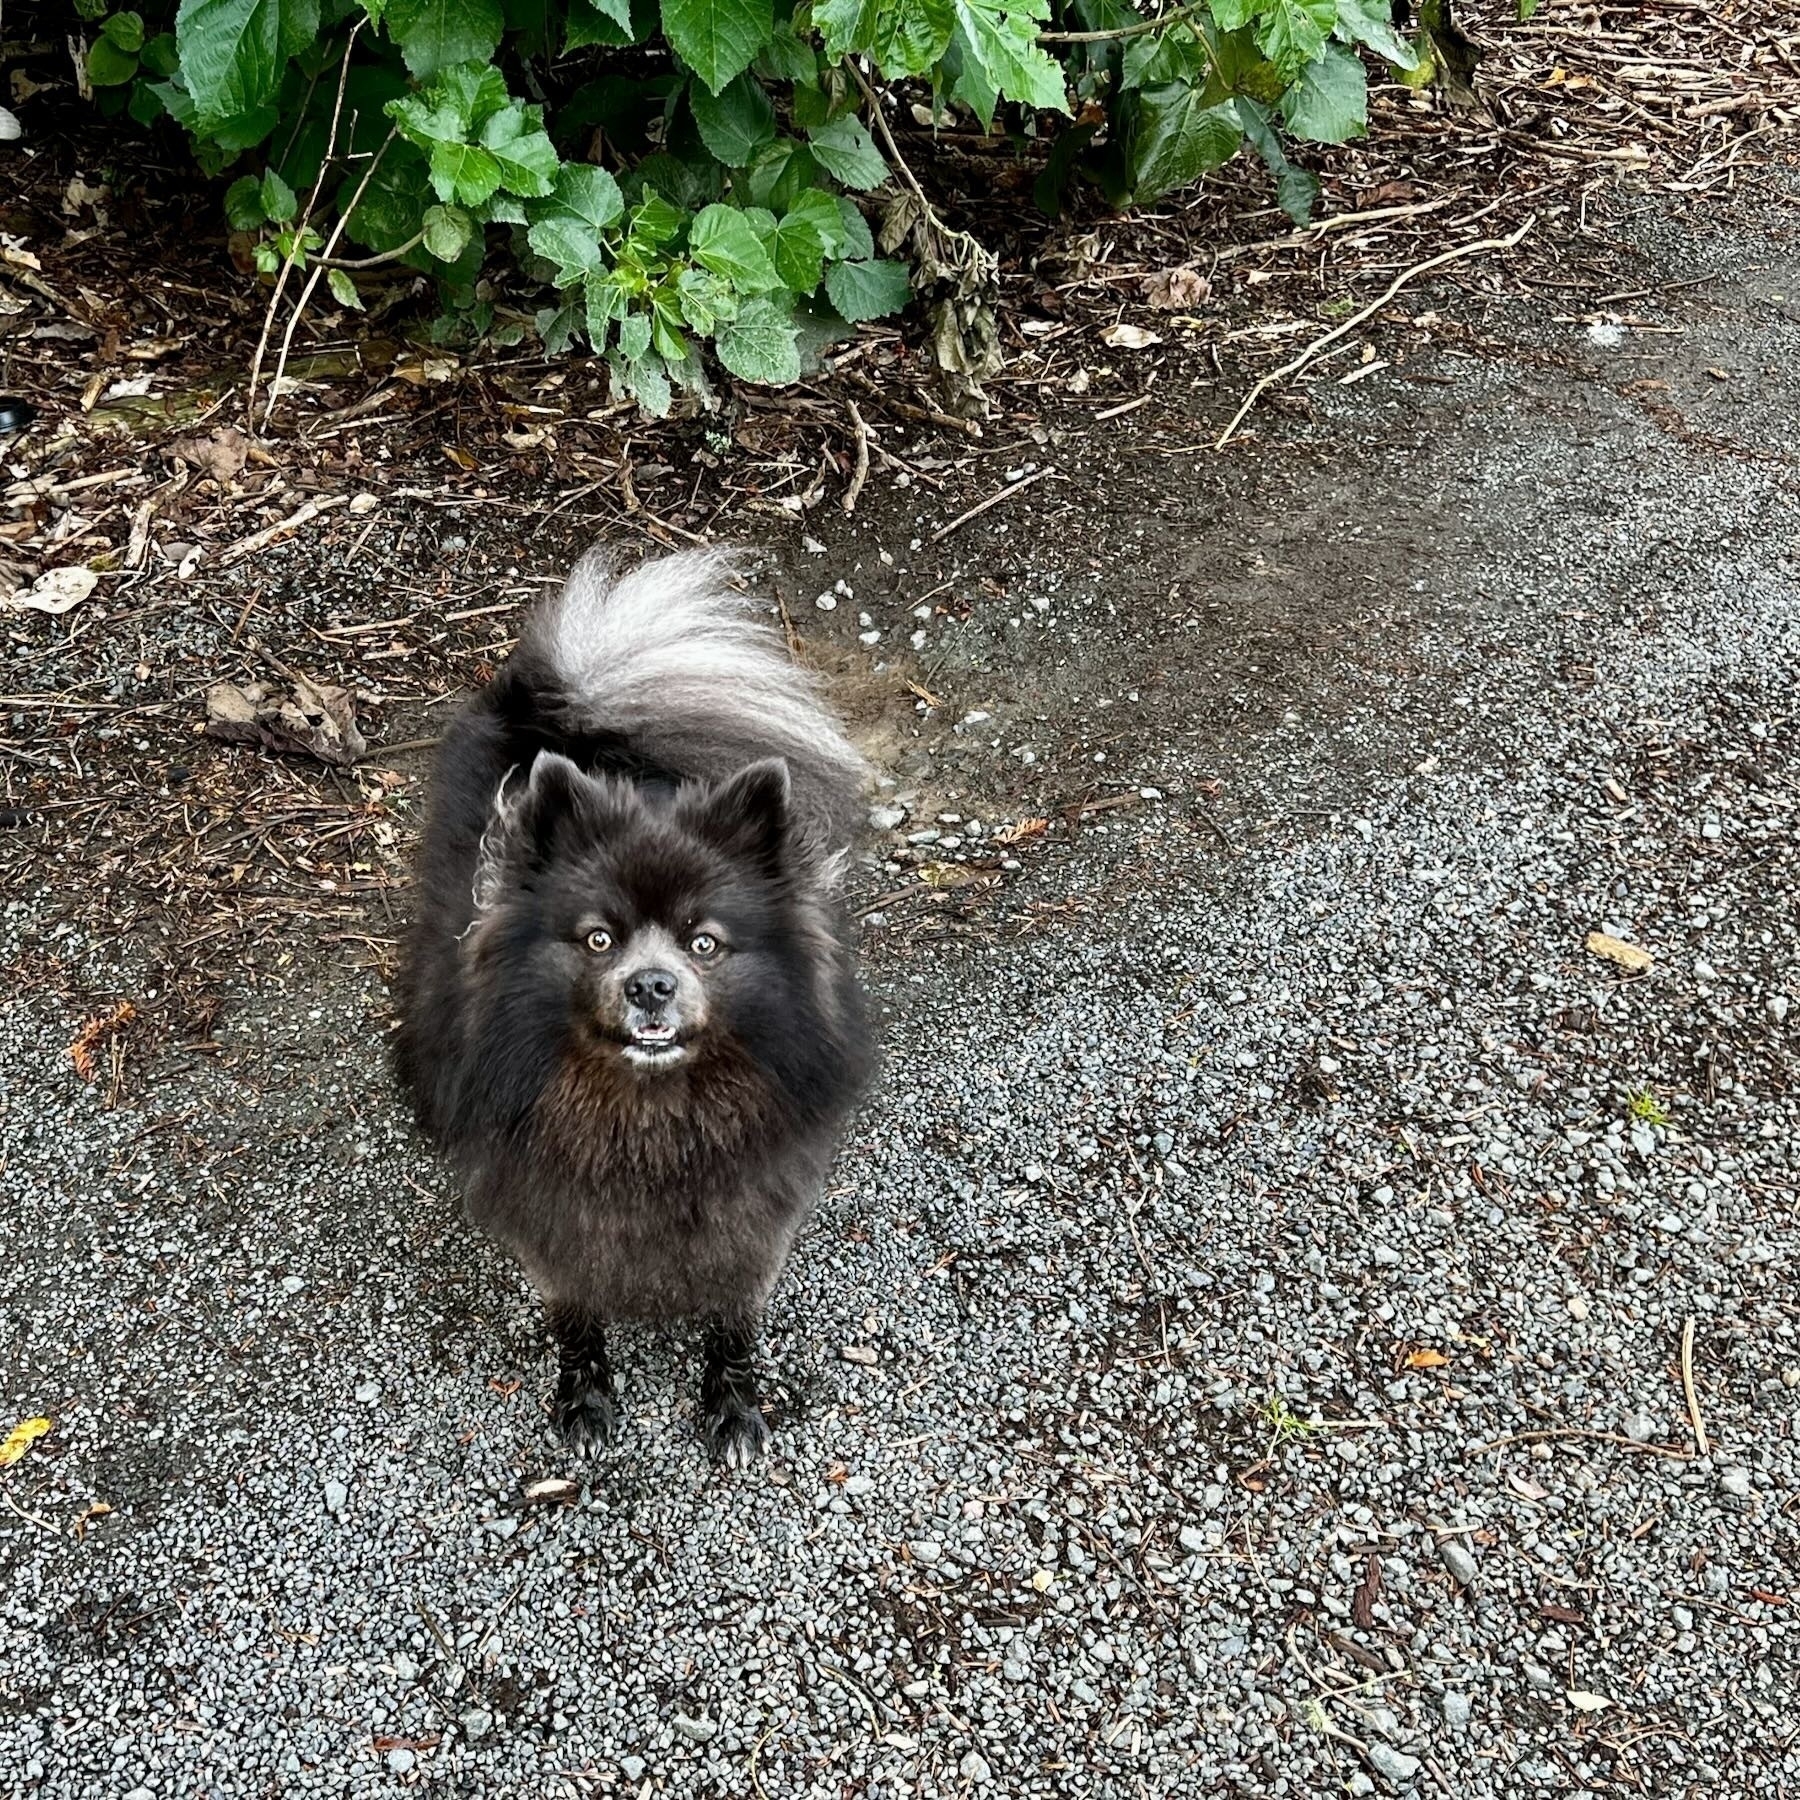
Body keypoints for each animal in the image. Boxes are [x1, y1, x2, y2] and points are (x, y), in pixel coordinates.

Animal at [394, 547, 871, 1461]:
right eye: (598, 940)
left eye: (704, 943)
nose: (651, 986)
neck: (648, 1116)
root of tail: (563, 706)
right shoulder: (552, 1217)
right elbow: (576, 1313)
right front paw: (584, 1394)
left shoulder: (748, 1221)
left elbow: (732, 1320)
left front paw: (733, 1403)